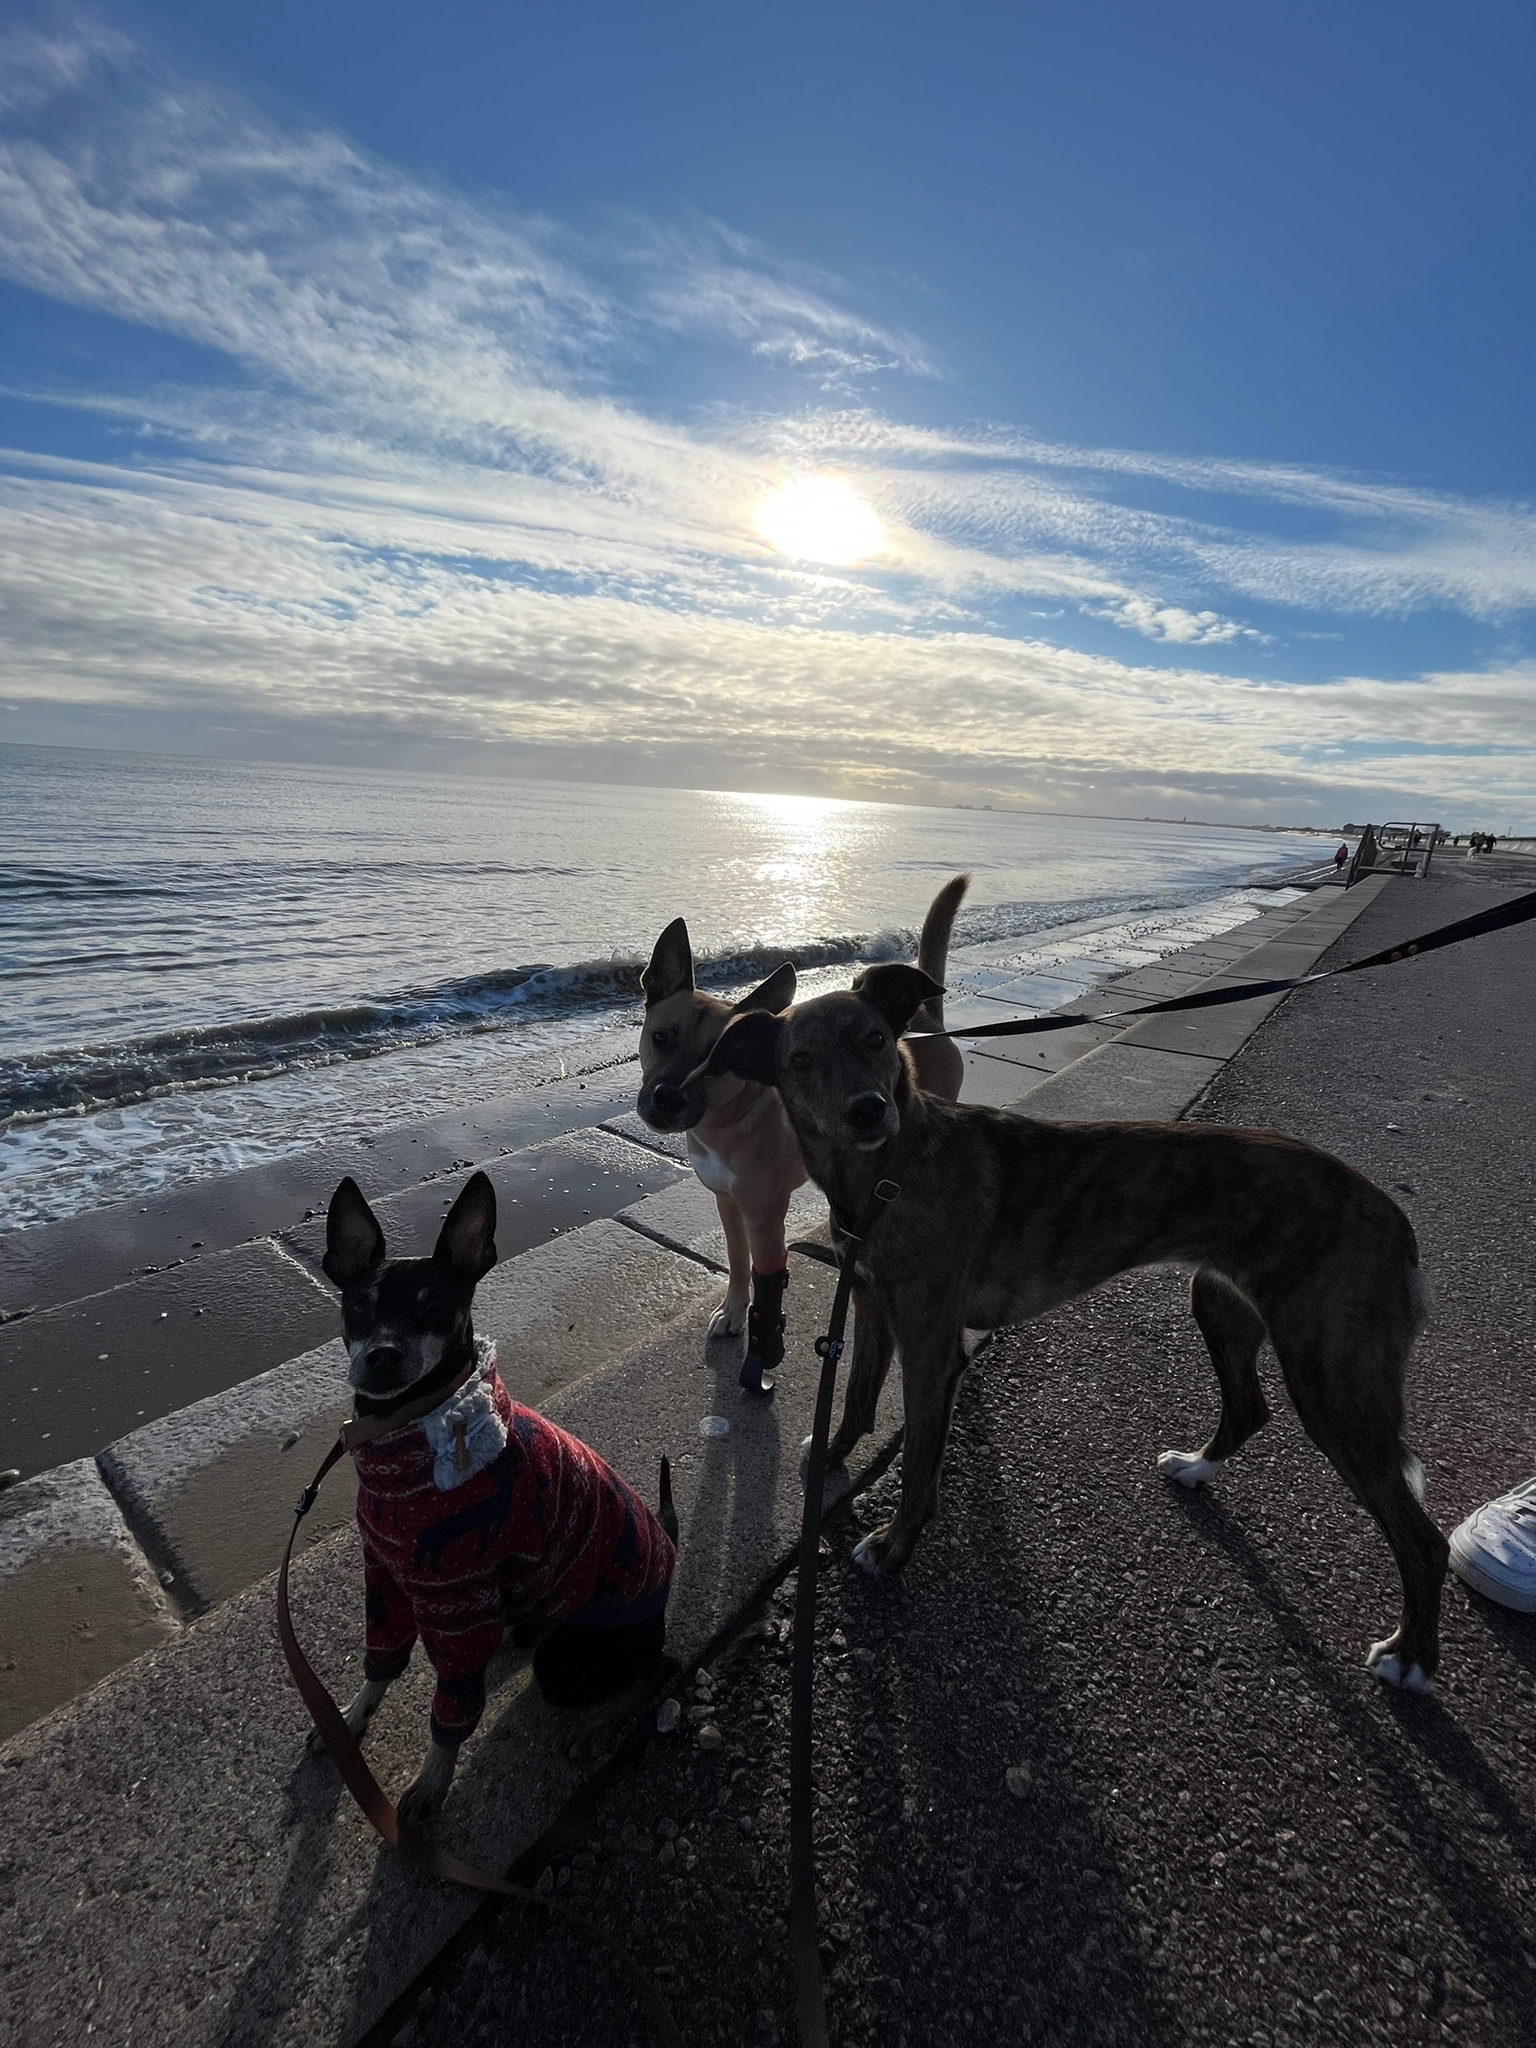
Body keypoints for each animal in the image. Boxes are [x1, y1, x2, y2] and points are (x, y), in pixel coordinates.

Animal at [634, 876, 966, 1392]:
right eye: (661, 1037)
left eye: (716, 1059)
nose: (666, 1098)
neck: (730, 1118)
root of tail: (925, 1018)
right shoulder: (728, 1204)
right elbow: (736, 1262)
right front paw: (734, 1310)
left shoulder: (766, 1221)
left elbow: (766, 1290)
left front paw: (760, 1357)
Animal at [704, 966, 1449, 1687]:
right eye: (799, 1060)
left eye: (876, 1040)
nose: (867, 1110)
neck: (889, 1172)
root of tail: (1390, 1215)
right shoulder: (873, 1307)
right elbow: (857, 1398)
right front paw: (831, 1458)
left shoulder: (931, 1352)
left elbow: (917, 1466)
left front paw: (892, 1548)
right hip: (1221, 1305)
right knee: (1248, 1407)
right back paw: (1196, 1468)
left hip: (1332, 1381)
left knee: (1424, 1538)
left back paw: (1411, 1658)